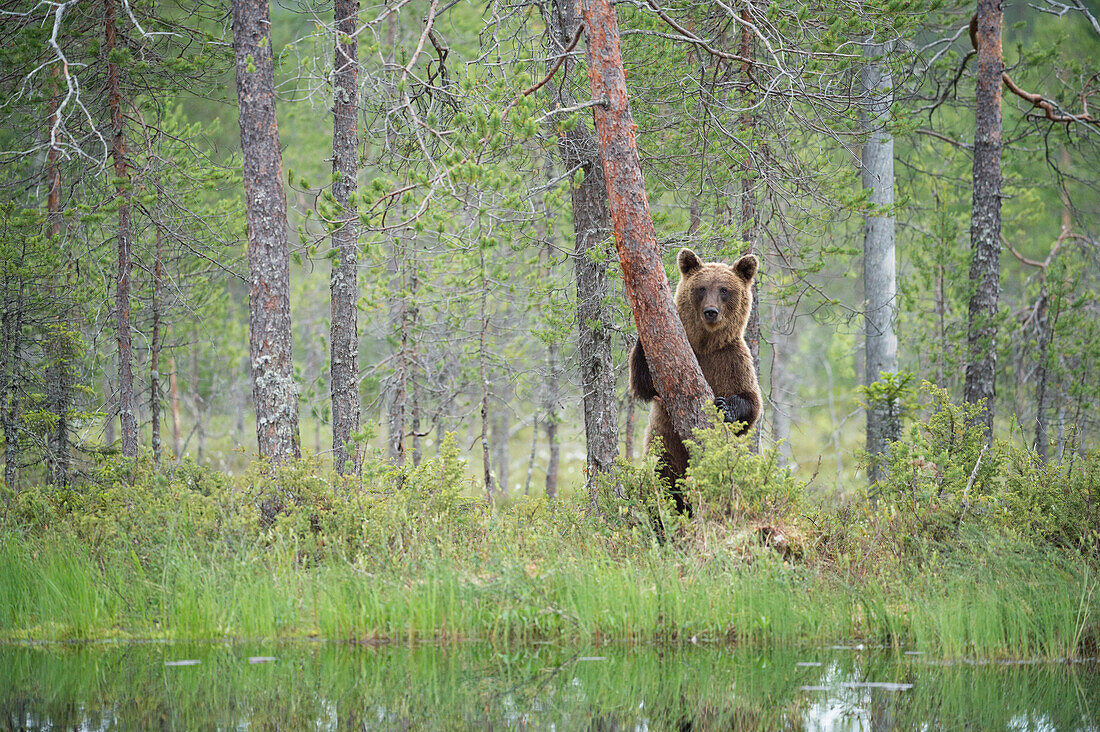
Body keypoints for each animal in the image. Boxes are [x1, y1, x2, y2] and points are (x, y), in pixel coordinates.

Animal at [629, 248, 765, 510]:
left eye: (724, 289)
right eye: (701, 288)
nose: (711, 311)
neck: (706, 345)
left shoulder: (732, 359)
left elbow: (751, 403)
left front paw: (725, 406)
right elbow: (643, 384)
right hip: (666, 447)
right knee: (665, 480)